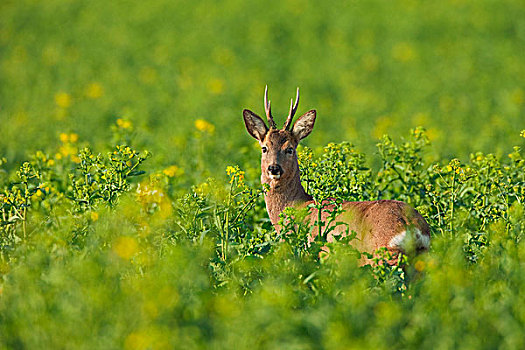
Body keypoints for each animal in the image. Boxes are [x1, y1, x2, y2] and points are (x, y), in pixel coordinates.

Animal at [242, 86, 430, 258]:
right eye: (264, 148)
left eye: (290, 149)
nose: (274, 168)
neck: (298, 207)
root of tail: (412, 226)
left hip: (381, 252)